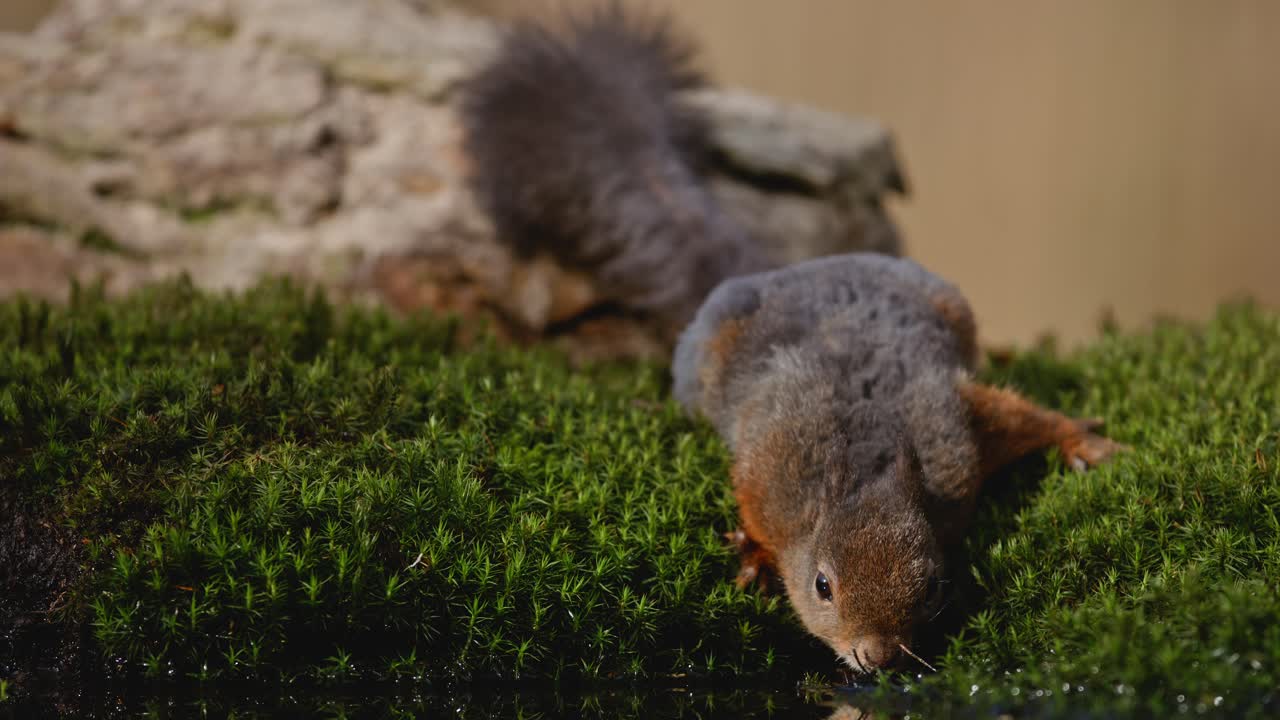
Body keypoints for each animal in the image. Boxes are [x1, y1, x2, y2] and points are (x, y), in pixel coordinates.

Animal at [459, 4, 1125, 675]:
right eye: (822, 586)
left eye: (934, 587)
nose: (876, 658)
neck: (867, 468)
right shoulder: (769, 466)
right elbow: (752, 503)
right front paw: (755, 555)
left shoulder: (956, 440)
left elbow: (1020, 416)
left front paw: (1084, 441)